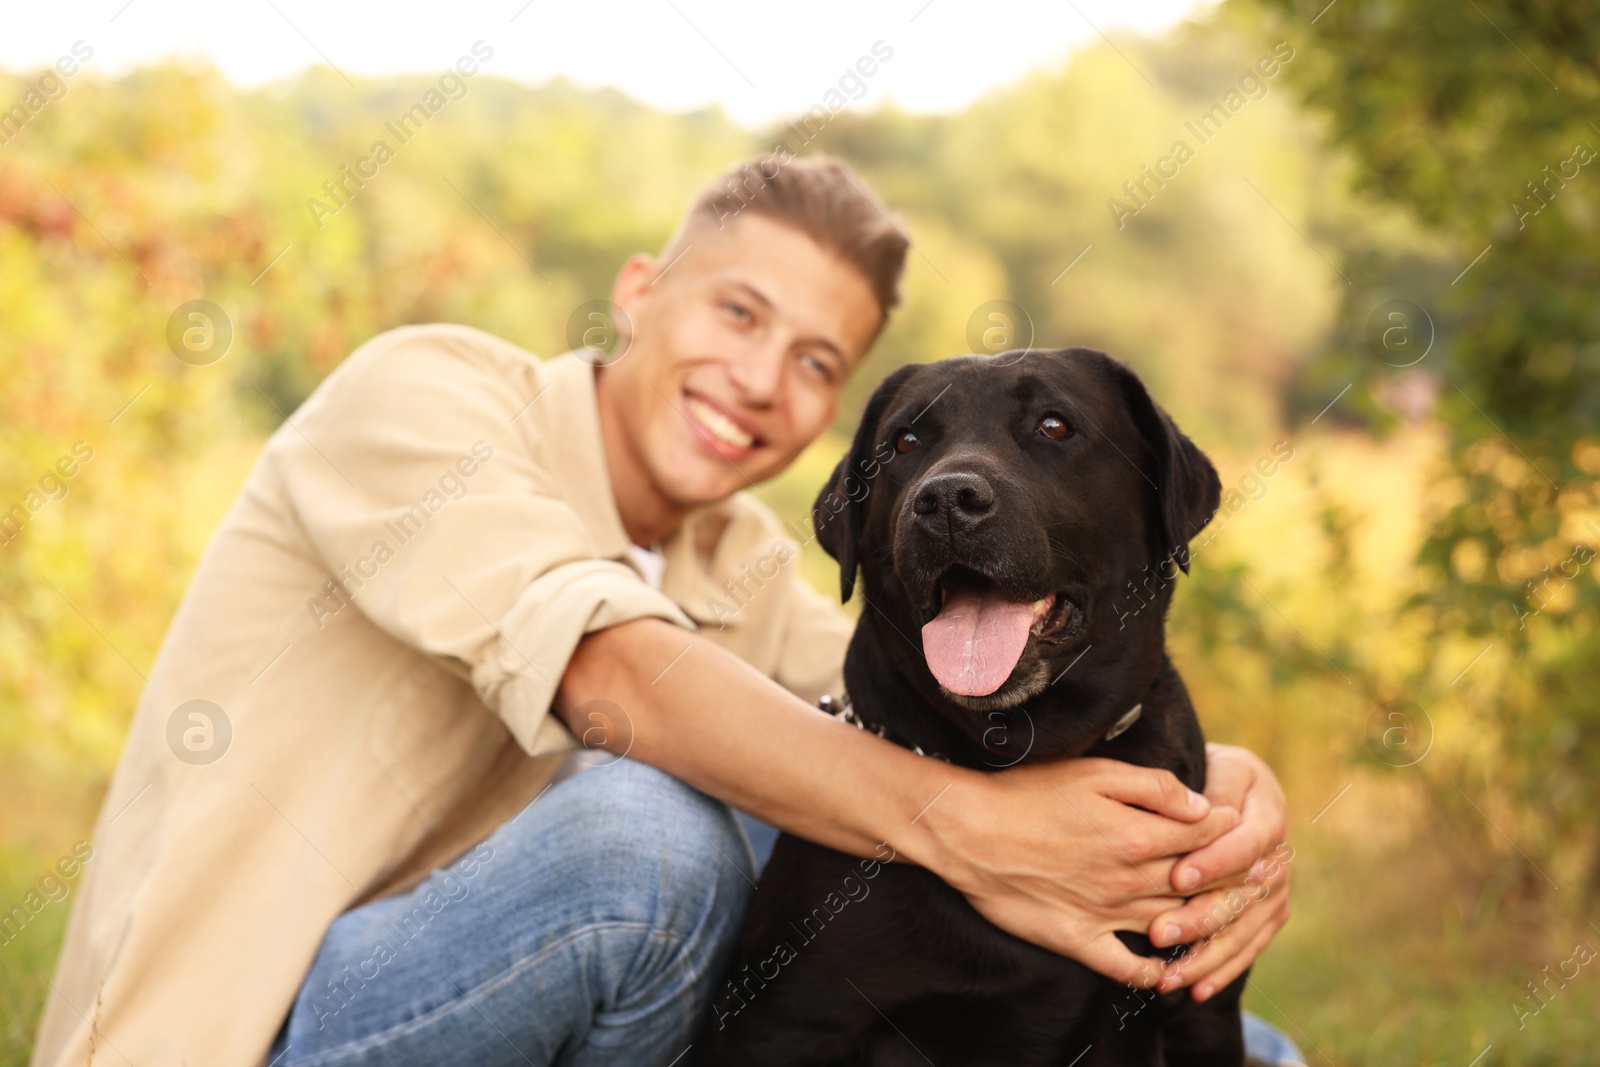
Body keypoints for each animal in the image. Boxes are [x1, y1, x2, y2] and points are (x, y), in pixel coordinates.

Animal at [694, 350, 1241, 1067]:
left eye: (1054, 425)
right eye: (904, 442)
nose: (947, 500)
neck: (1023, 745)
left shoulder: (1191, 1011)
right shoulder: (786, 1020)